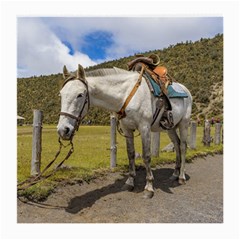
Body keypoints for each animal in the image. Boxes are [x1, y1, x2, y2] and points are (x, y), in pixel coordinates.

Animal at [57, 63, 193, 199]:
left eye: (80, 94)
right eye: (61, 95)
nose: (63, 130)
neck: (126, 95)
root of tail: (186, 91)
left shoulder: (145, 128)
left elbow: (146, 156)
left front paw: (149, 187)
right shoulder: (127, 129)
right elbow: (131, 154)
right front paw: (130, 182)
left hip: (184, 124)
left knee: (182, 147)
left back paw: (181, 177)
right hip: (170, 128)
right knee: (176, 144)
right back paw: (175, 174)